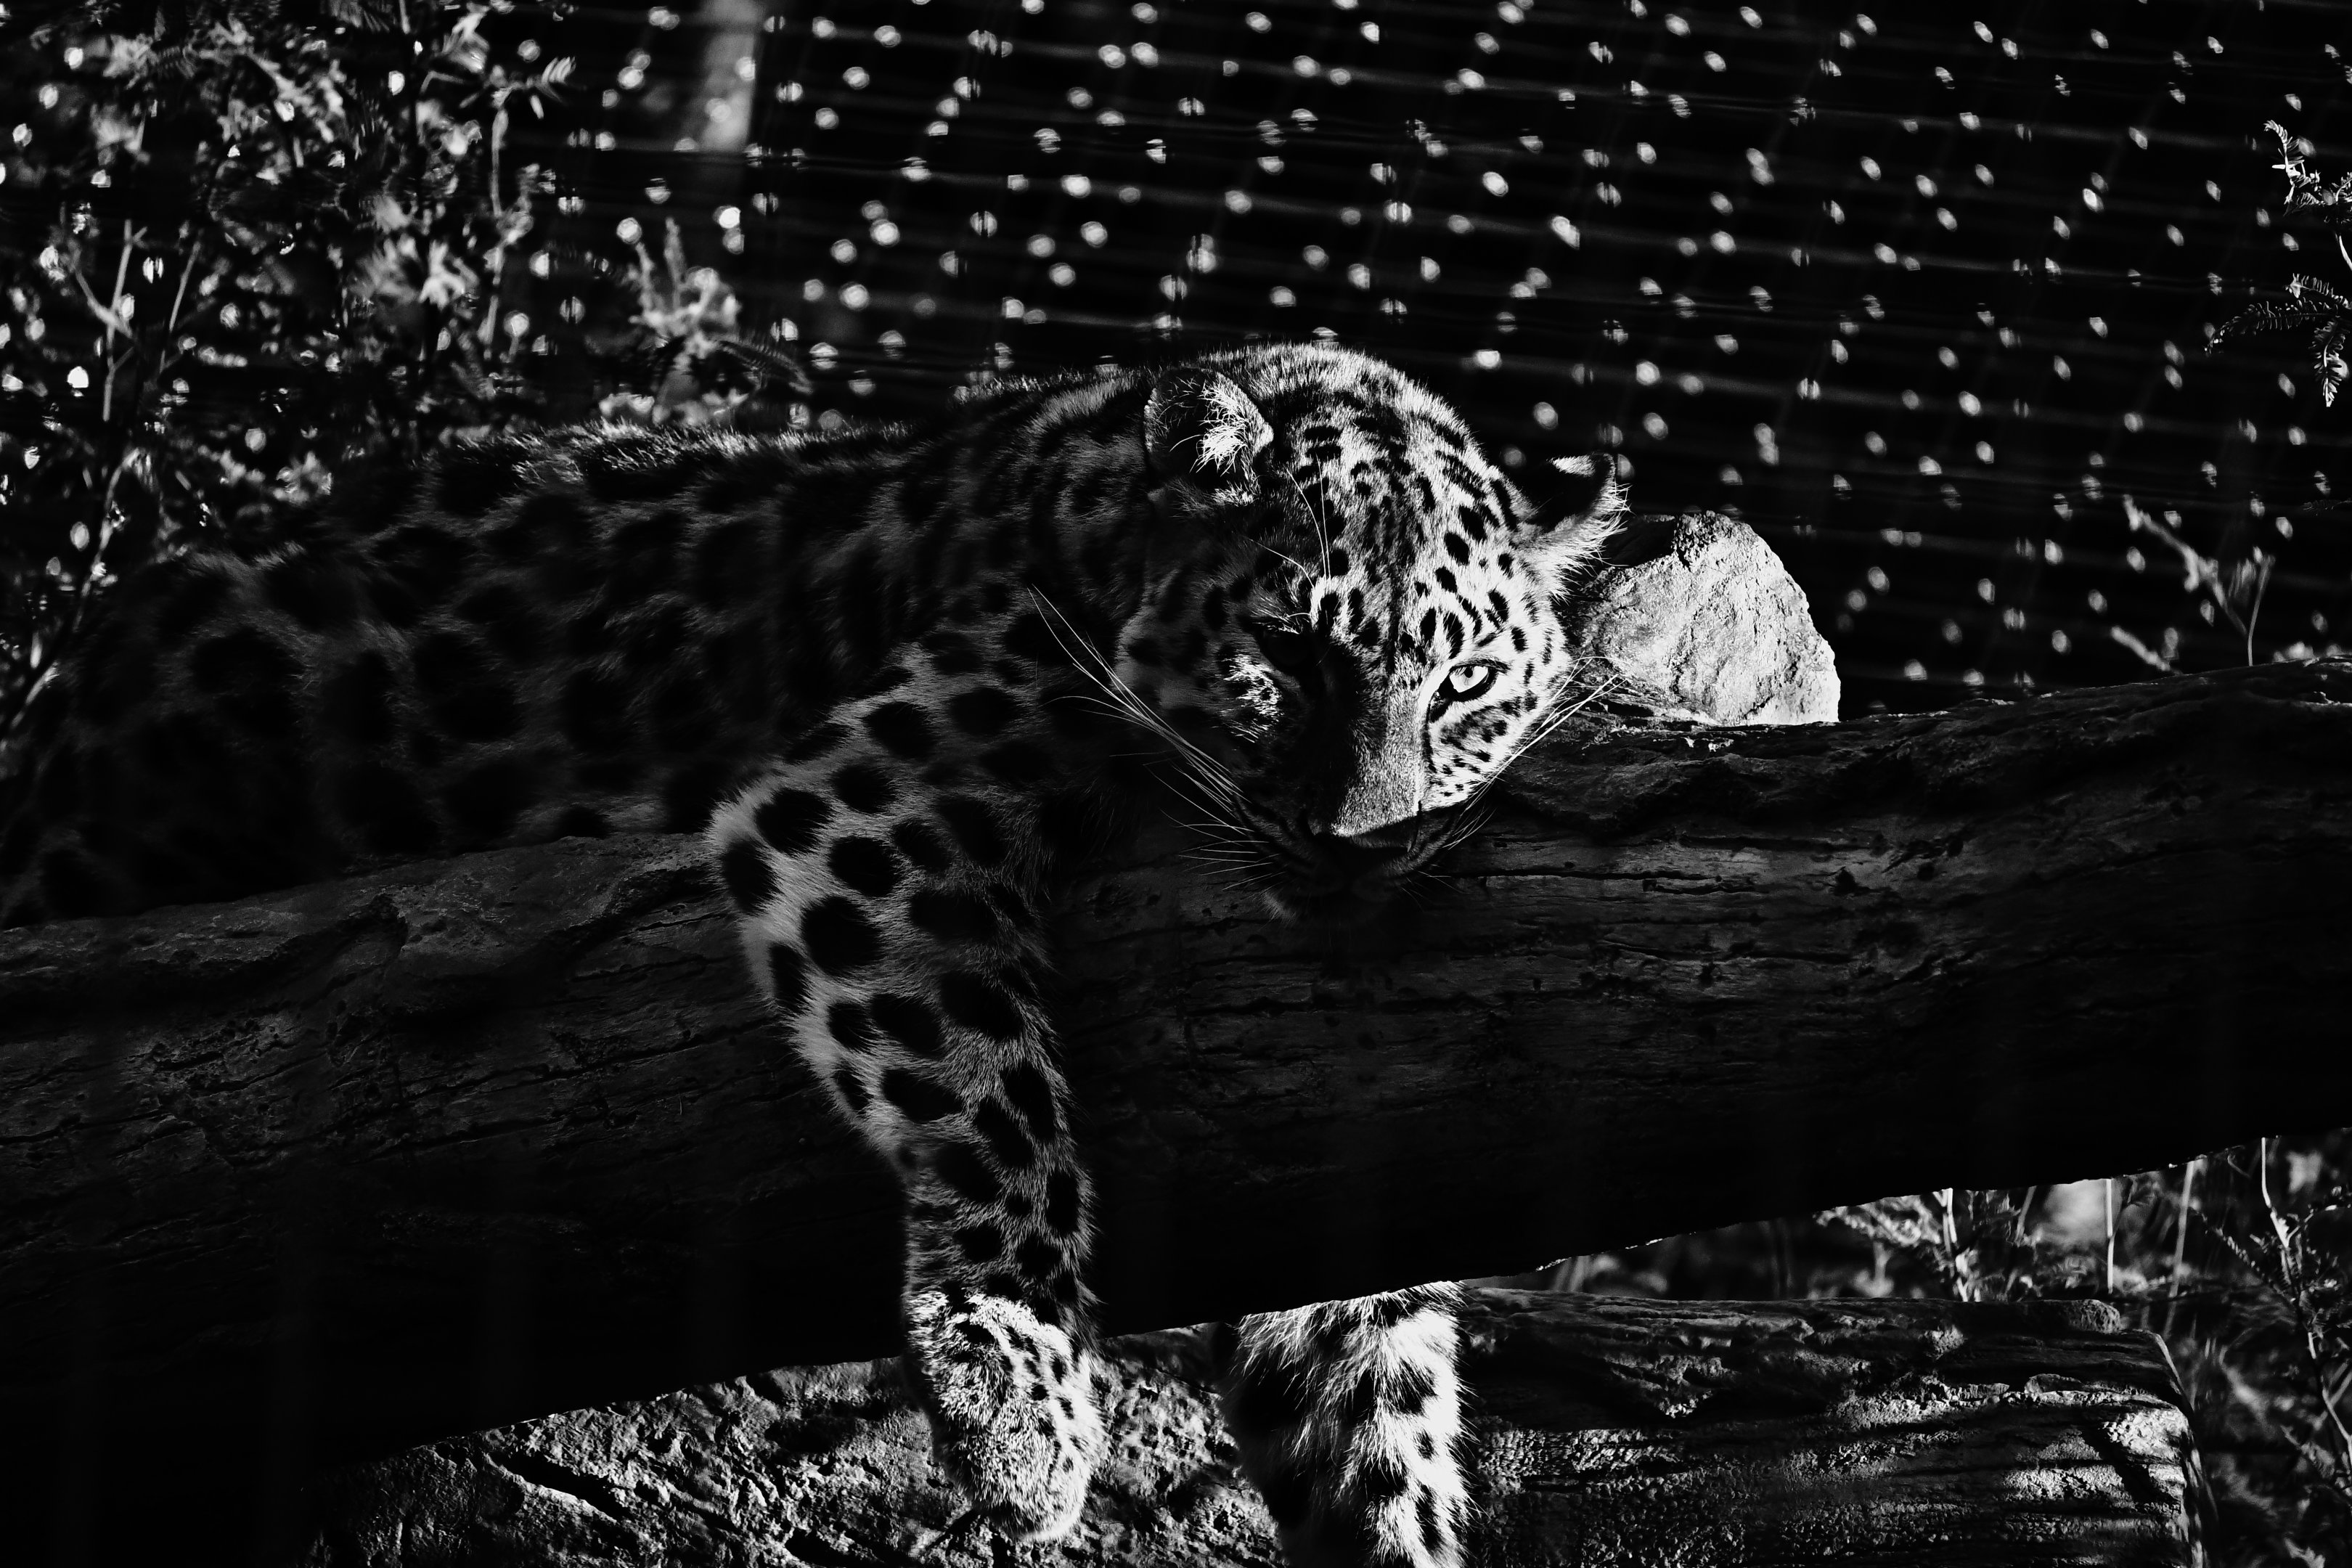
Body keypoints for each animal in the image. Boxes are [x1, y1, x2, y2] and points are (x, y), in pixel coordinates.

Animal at [0, 340, 1623, 1568]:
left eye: (1466, 683)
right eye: (1288, 655)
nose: (1362, 845)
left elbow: (1379, 1404)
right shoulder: (868, 800)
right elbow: (991, 1092)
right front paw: (1023, 1411)